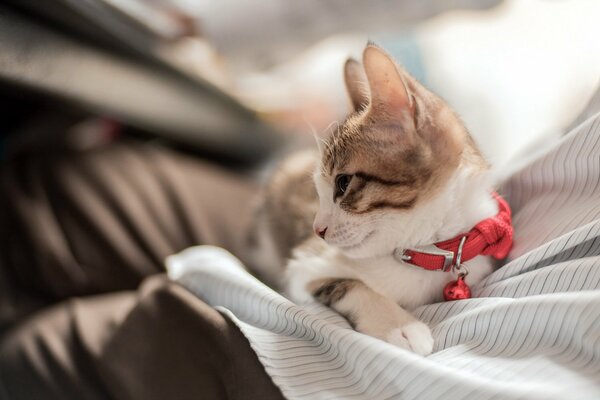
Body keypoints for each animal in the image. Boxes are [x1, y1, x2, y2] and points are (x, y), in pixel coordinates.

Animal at [248, 44, 510, 356]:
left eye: (343, 183)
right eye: (318, 191)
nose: (317, 229)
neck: (424, 253)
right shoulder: (303, 265)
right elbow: (351, 285)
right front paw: (402, 327)